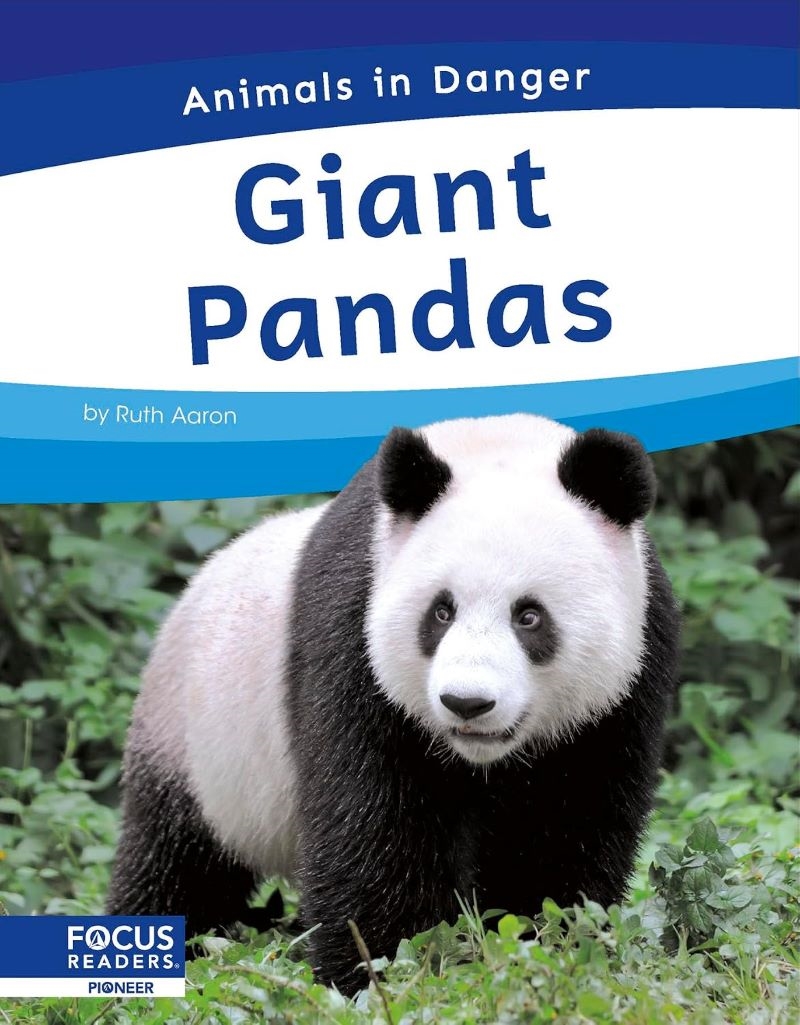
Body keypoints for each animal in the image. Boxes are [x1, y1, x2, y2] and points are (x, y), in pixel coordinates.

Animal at [107, 413, 681, 993]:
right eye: (441, 612)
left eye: (529, 616)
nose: (466, 703)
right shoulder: (352, 632)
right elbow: (372, 823)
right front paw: (385, 970)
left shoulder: (627, 678)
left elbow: (566, 824)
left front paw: (547, 948)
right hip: (195, 736)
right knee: (177, 860)